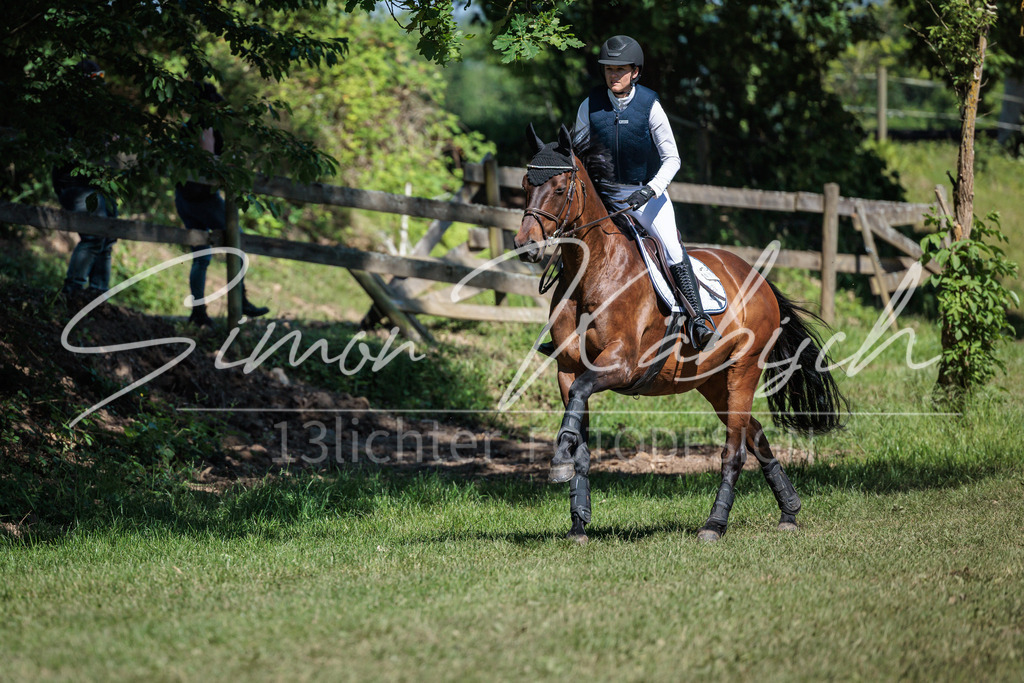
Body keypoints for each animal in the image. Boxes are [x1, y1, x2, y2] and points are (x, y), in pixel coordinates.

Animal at [513, 124, 848, 543]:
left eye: (559, 188)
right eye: (525, 184)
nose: (525, 246)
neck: (592, 270)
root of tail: (759, 279)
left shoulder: (620, 364)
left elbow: (579, 400)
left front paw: (558, 464)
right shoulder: (567, 369)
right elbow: (579, 438)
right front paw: (578, 521)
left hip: (743, 372)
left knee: (735, 450)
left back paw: (714, 525)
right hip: (714, 383)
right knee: (754, 435)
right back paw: (789, 510)